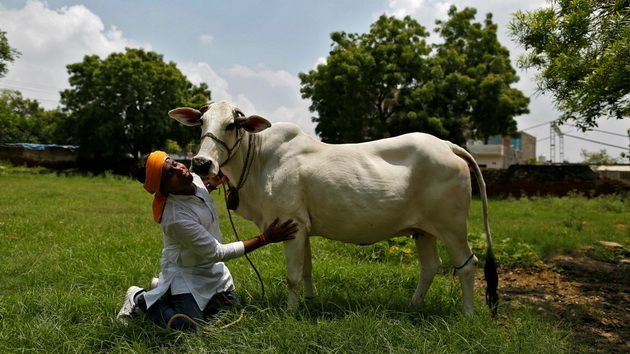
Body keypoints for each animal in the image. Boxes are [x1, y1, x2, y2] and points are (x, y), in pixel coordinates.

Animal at [169, 101, 498, 314]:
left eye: (231, 125)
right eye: (201, 123)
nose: (202, 163)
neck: (260, 159)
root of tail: (446, 144)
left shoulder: (290, 224)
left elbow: (292, 274)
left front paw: (290, 312)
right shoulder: (302, 228)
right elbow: (307, 270)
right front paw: (309, 303)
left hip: (451, 227)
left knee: (468, 265)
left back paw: (467, 314)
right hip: (423, 230)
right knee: (431, 266)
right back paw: (413, 307)